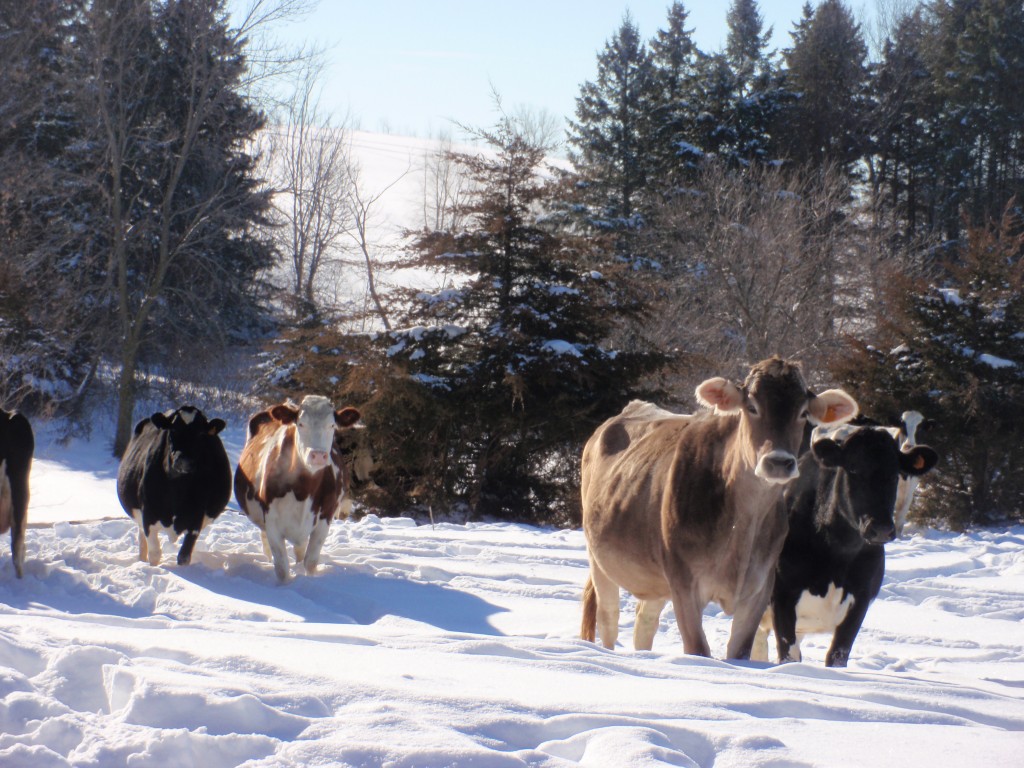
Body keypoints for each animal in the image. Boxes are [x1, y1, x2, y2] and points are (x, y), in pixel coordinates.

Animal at [117, 409, 232, 565]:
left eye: (201, 434)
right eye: (173, 430)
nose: (184, 460)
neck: (178, 487)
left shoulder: (195, 519)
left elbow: (184, 557)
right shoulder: (148, 515)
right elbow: (155, 554)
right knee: (142, 538)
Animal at [234, 397, 362, 581]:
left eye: (332, 425)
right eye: (301, 424)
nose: (318, 455)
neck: (303, 491)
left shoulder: (325, 518)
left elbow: (311, 561)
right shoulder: (272, 521)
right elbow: (282, 568)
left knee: (300, 549)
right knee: (266, 541)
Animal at [581, 358, 860, 659]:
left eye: (803, 412)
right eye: (752, 407)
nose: (778, 462)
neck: (743, 527)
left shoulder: (759, 589)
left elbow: (739, 651)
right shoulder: (685, 583)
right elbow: (698, 649)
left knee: (645, 620)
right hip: (599, 559)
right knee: (608, 618)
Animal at [753, 428, 937, 667]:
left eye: (895, 473)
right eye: (854, 469)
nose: (881, 529)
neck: (839, 553)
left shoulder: (860, 599)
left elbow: (838, 654)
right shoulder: (782, 595)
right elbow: (789, 655)